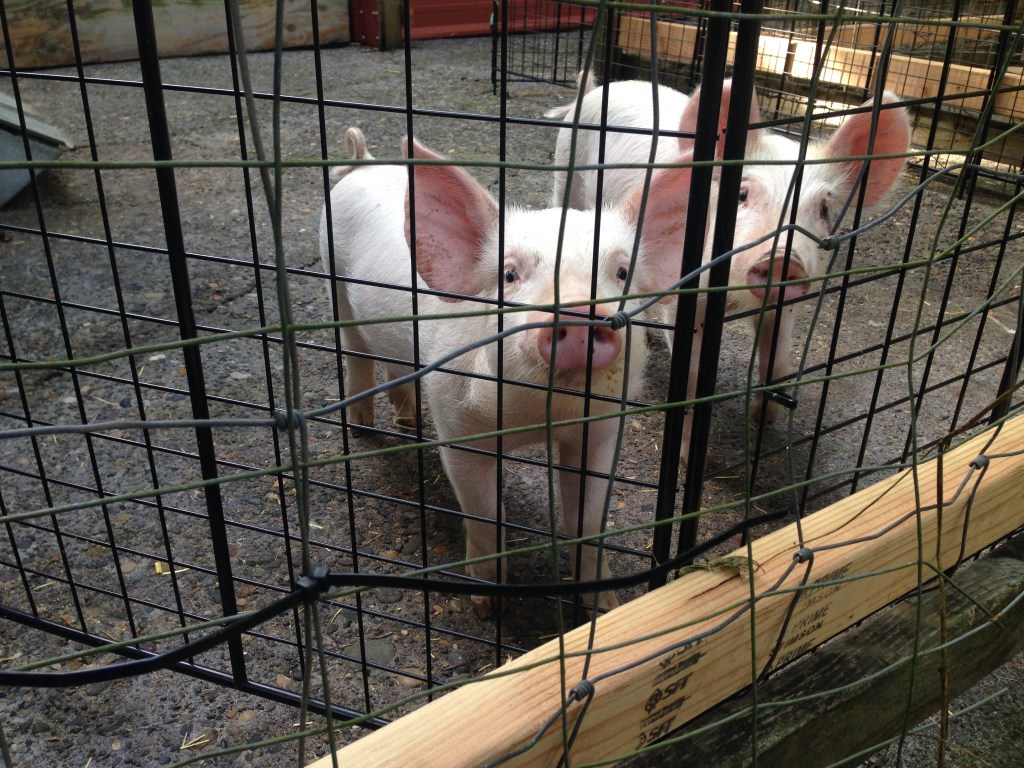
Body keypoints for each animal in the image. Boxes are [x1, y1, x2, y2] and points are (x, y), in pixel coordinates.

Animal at [319, 127, 695, 617]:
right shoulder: (457, 426)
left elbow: (587, 519)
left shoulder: (601, 428)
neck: (534, 420)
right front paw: (486, 608)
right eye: (510, 274)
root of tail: (362, 163)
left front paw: (605, 603)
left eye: (622, 272)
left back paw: (408, 421)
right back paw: (364, 428)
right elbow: (484, 515)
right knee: (357, 354)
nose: (579, 313)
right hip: (335, 284)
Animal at [546, 77, 911, 433]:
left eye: (823, 208)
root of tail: (600, 88)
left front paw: (764, 420)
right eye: (742, 194)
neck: (734, 298)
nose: (783, 257)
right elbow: (691, 376)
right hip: (566, 172)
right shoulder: (686, 291)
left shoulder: (785, 304)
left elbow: (777, 358)